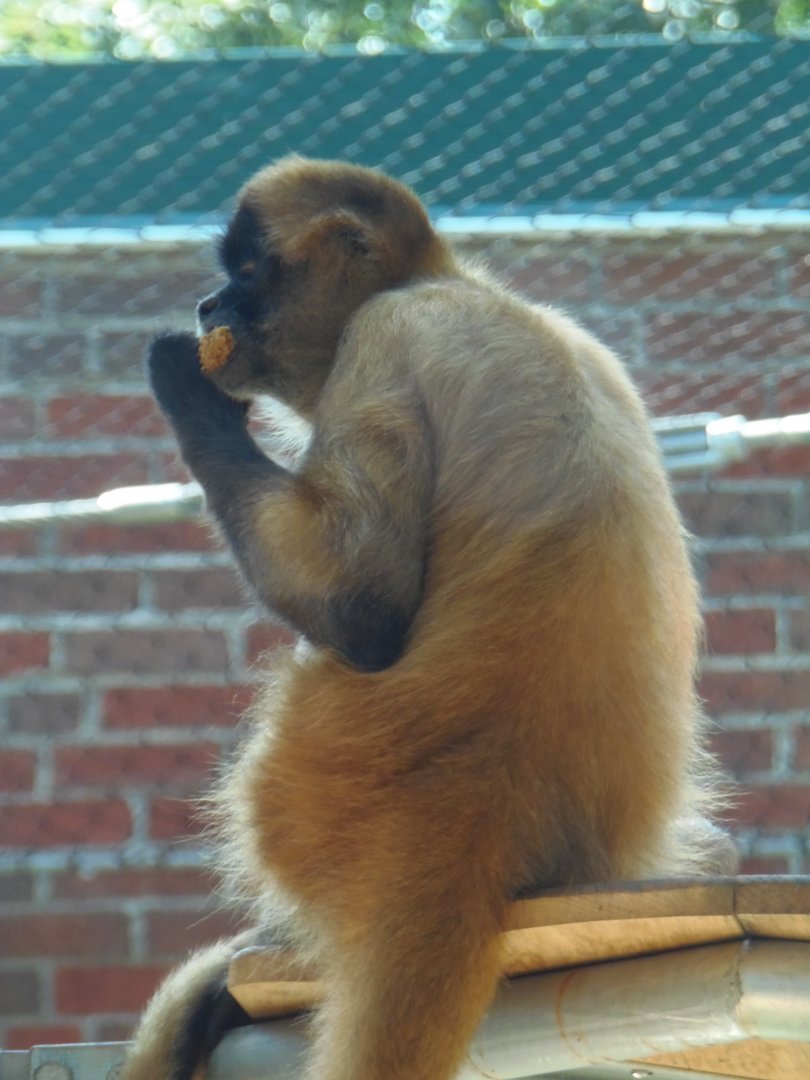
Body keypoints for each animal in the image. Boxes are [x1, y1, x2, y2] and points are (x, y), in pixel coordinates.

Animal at [123, 156, 730, 1080]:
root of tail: (484, 808)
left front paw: (184, 380)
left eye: (247, 273)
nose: (208, 305)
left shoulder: (386, 334)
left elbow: (362, 612)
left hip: (312, 785)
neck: (446, 280)